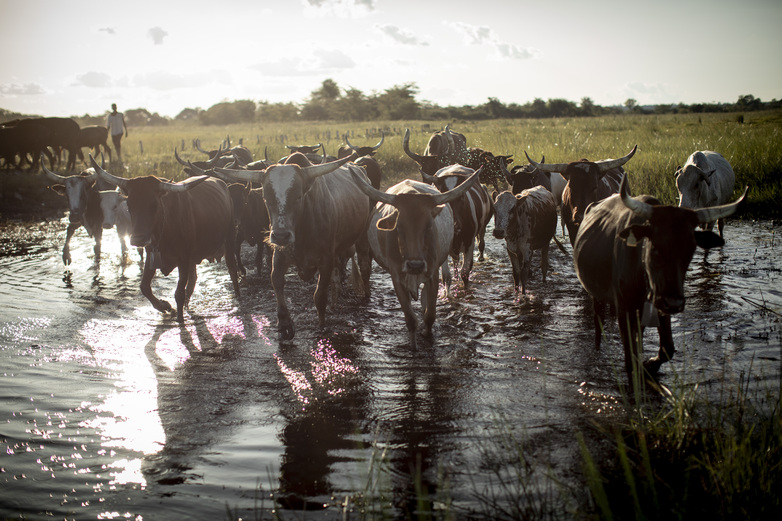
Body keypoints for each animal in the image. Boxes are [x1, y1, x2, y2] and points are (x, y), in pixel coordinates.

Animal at [90, 154, 240, 322]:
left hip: (229, 239)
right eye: (129, 204)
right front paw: (164, 306)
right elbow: (144, 287)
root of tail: (221, 183)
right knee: (193, 280)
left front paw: (179, 319)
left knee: (232, 269)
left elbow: (179, 292)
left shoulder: (183, 259)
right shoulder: (152, 255)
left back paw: (238, 296)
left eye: (155, 204)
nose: (138, 240)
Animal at [214, 153, 374, 342]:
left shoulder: (325, 259)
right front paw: (284, 324)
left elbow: (319, 295)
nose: (281, 235)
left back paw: (365, 295)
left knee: (364, 266)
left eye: (298, 197)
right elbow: (276, 281)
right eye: (266, 198)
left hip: (362, 236)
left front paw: (322, 325)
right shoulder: (280, 254)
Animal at [350, 167, 484, 346]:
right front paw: (413, 345)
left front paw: (427, 334)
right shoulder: (397, 278)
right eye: (399, 227)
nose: (415, 265)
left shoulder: (433, 275)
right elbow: (410, 320)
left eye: (428, 226)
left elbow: (430, 315)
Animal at [576, 173, 748, 380]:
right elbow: (630, 361)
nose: (674, 303)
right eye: (655, 247)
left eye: (690, 250)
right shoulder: (625, 308)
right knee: (598, 323)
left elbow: (667, 348)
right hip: (597, 296)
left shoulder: (660, 304)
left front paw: (650, 364)